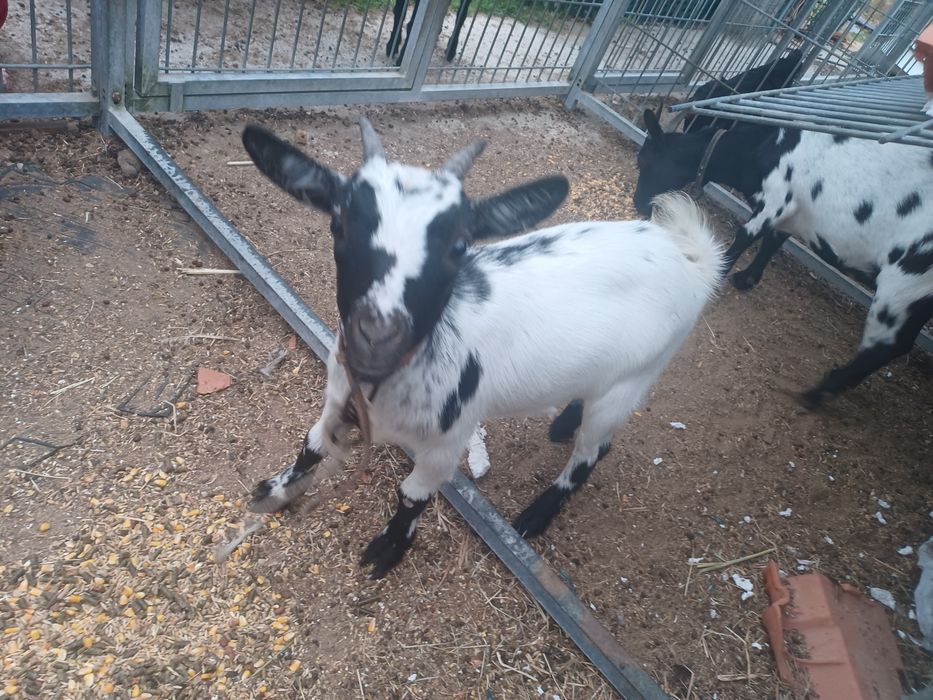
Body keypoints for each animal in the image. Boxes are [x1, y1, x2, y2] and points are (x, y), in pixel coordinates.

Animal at [242, 118, 724, 578]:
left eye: (459, 245)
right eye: (337, 223)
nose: (377, 336)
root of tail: (689, 255)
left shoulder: (446, 443)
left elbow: (411, 495)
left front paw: (389, 549)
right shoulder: (336, 398)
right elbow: (312, 446)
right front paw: (274, 490)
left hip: (632, 380)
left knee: (593, 451)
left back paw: (535, 515)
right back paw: (561, 426)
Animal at [634, 109, 933, 407]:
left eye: (644, 160)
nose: (638, 203)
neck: (766, 147)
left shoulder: (777, 201)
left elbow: (746, 235)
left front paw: (722, 275)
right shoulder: (792, 214)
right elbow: (773, 241)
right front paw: (746, 279)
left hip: (904, 280)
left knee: (887, 344)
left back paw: (818, 392)